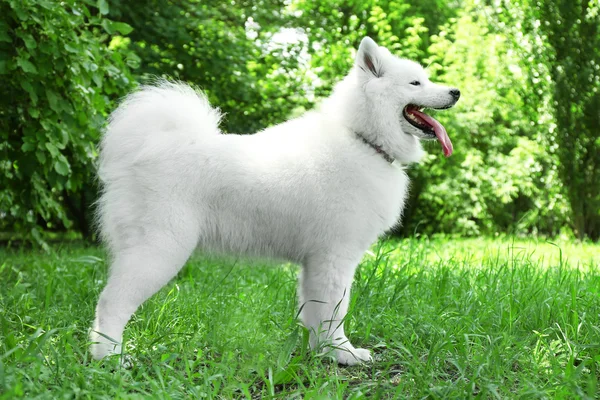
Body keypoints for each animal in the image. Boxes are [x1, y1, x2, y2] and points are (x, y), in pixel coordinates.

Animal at [89, 37, 460, 366]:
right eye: (415, 82)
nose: (456, 91)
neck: (362, 139)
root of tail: (144, 151)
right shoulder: (335, 257)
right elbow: (335, 310)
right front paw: (344, 354)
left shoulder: (315, 263)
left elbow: (314, 312)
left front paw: (322, 353)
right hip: (161, 250)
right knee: (110, 303)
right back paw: (111, 358)